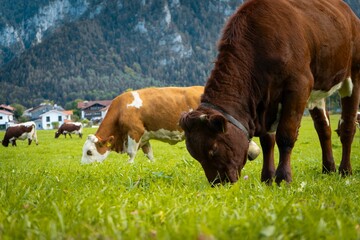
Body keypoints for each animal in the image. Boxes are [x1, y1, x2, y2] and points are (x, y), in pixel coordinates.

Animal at [80, 86, 262, 165]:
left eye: (89, 152)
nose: (83, 167)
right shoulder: (144, 137)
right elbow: (149, 153)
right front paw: (152, 165)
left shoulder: (134, 132)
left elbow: (131, 154)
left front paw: (128, 166)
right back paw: (253, 153)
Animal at [179, 0, 360, 186]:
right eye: (196, 155)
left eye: (213, 150)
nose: (218, 183)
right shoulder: (266, 101)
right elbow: (267, 142)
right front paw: (267, 178)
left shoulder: (299, 86)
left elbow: (285, 135)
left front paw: (283, 178)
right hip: (317, 91)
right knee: (324, 128)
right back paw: (328, 169)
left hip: (353, 75)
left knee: (348, 126)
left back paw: (345, 170)